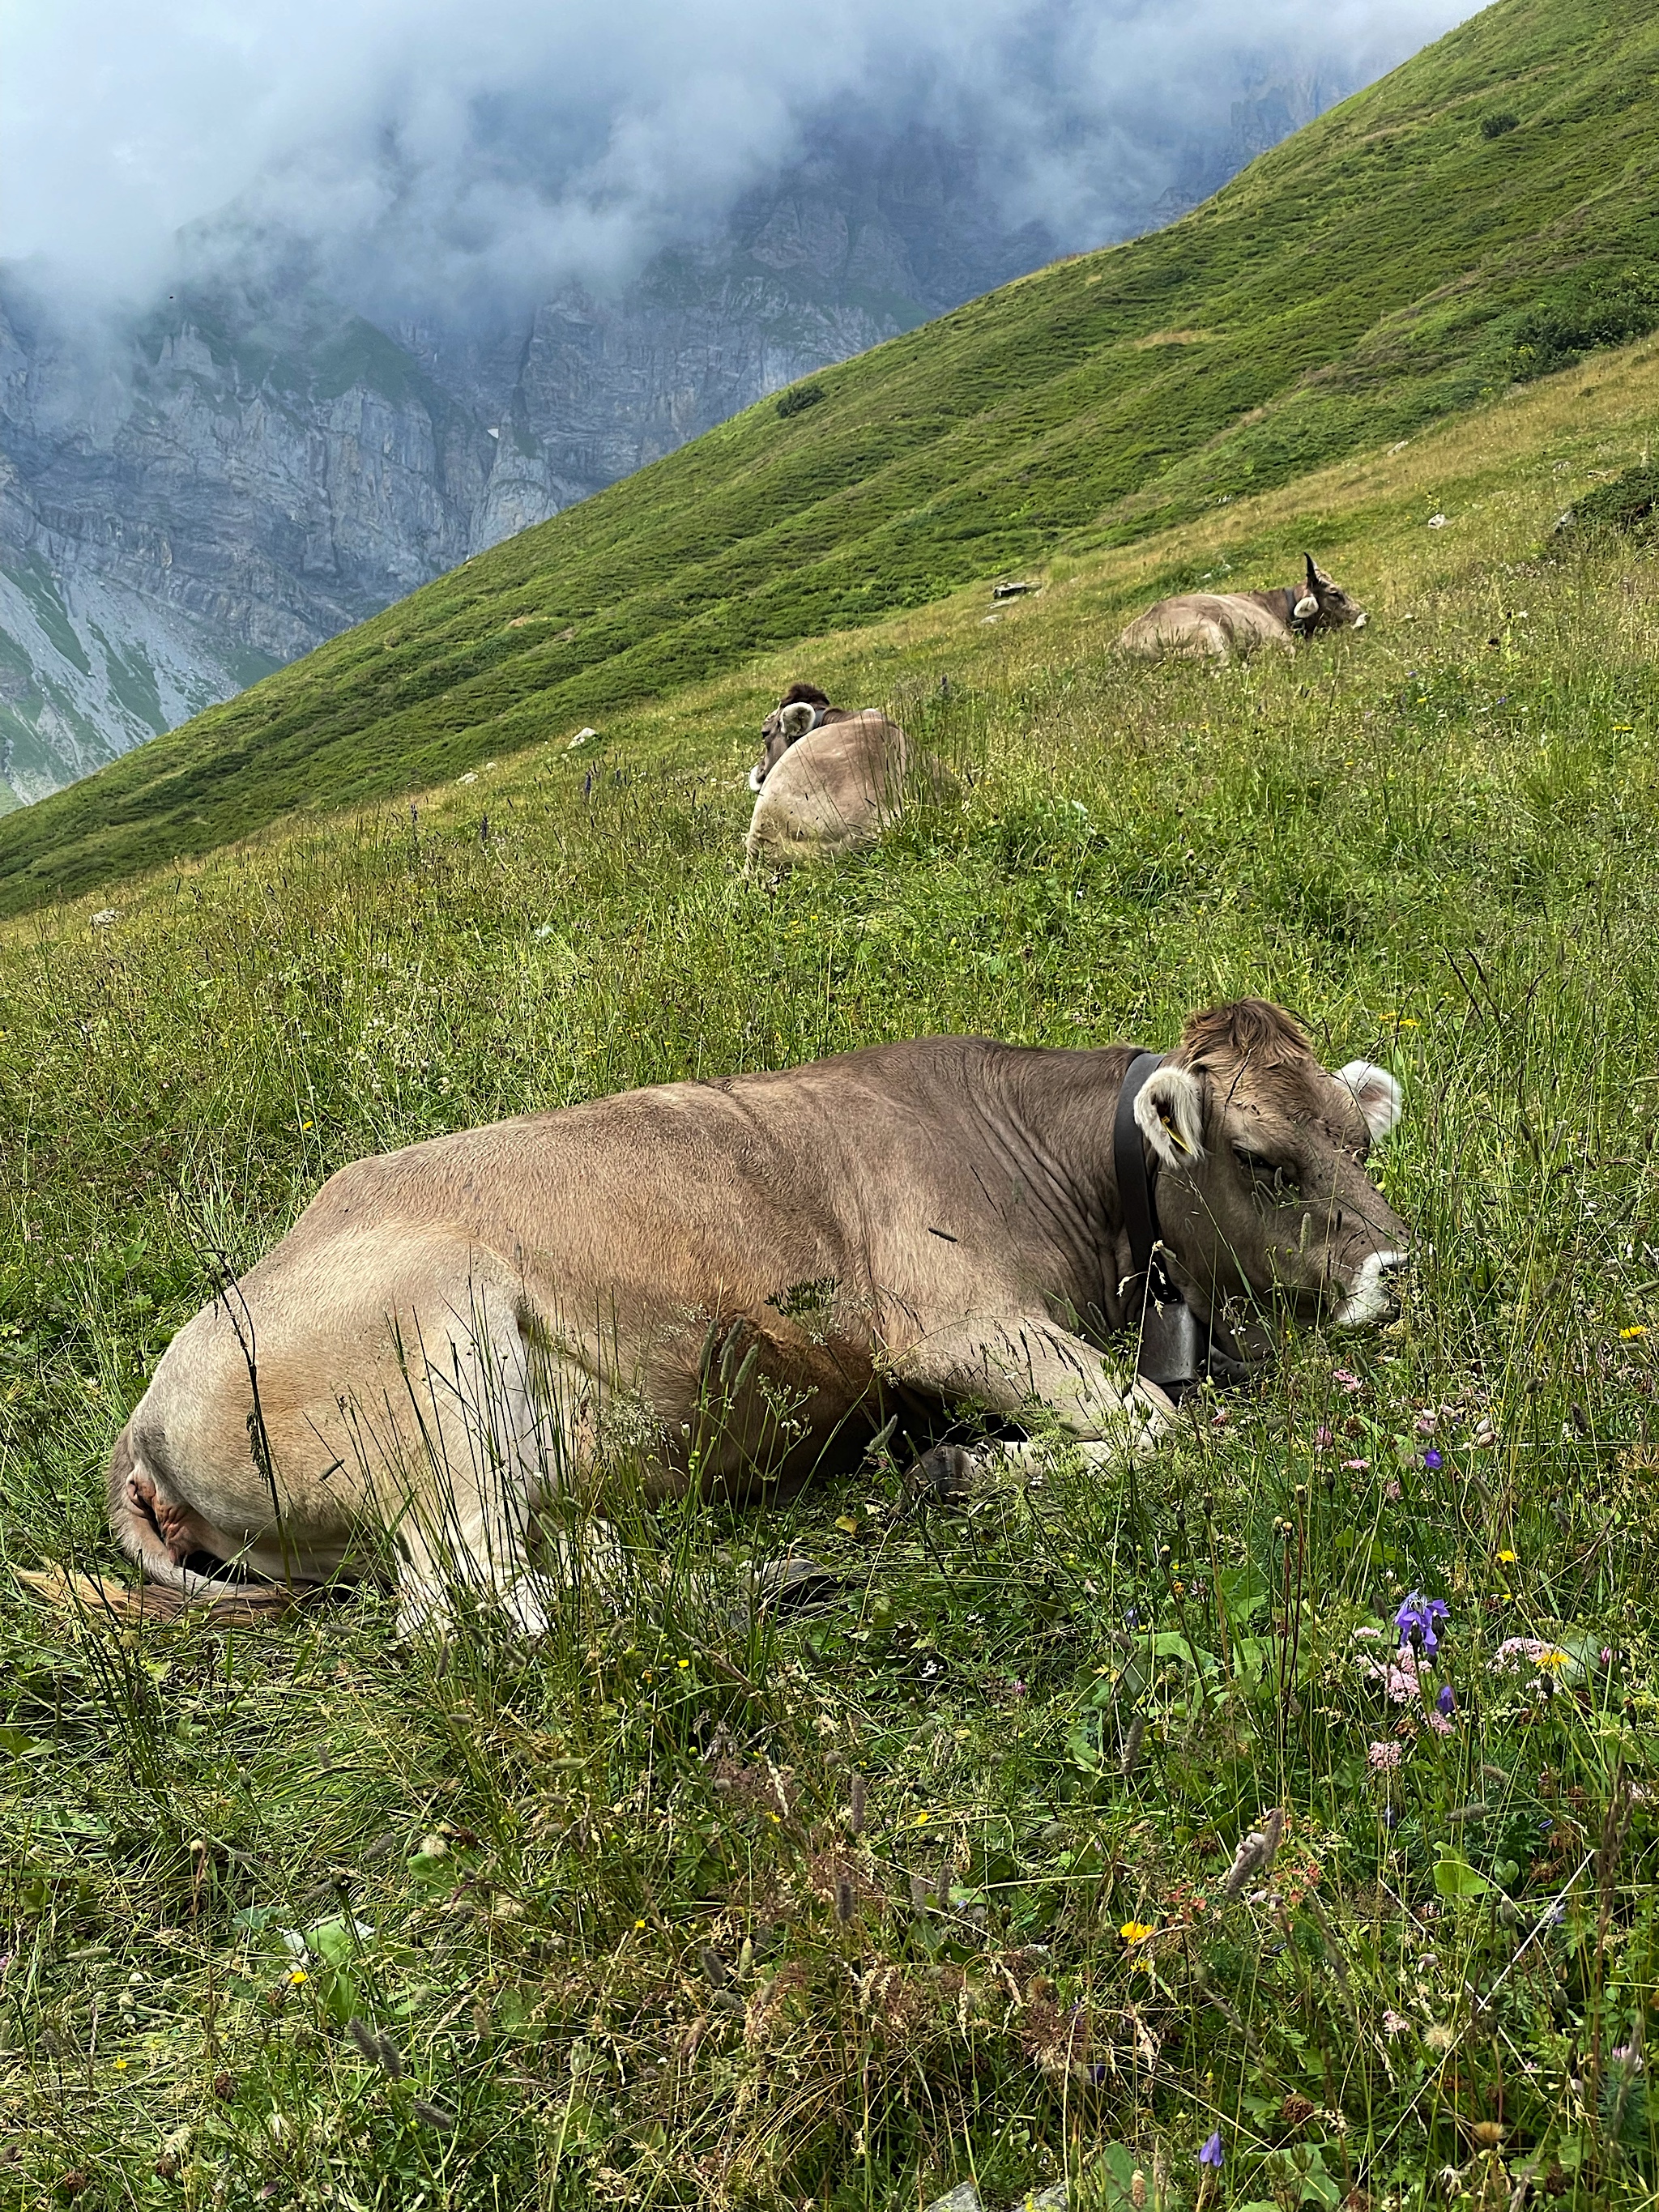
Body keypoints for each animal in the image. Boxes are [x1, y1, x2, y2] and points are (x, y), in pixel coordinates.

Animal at [106, 999, 1407, 1636]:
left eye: (1361, 1138)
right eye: (1264, 1159)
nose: (1396, 1268)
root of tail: (144, 1416)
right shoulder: (951, 1323)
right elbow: (1153, 1423)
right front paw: (958, 1474)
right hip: (436, 1365)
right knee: (467, 1604)